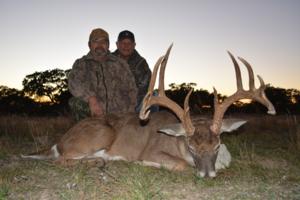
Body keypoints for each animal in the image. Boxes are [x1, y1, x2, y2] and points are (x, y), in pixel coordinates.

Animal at [22, 44, 276, 177]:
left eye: (217, 145)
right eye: (191, 146)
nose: (207, 175)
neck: (176, 143)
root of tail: (59, 142)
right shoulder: (154, 151)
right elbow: (181, 165)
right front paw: (142, 164)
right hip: (101, 134)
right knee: (61, 161)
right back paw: (101, 162)